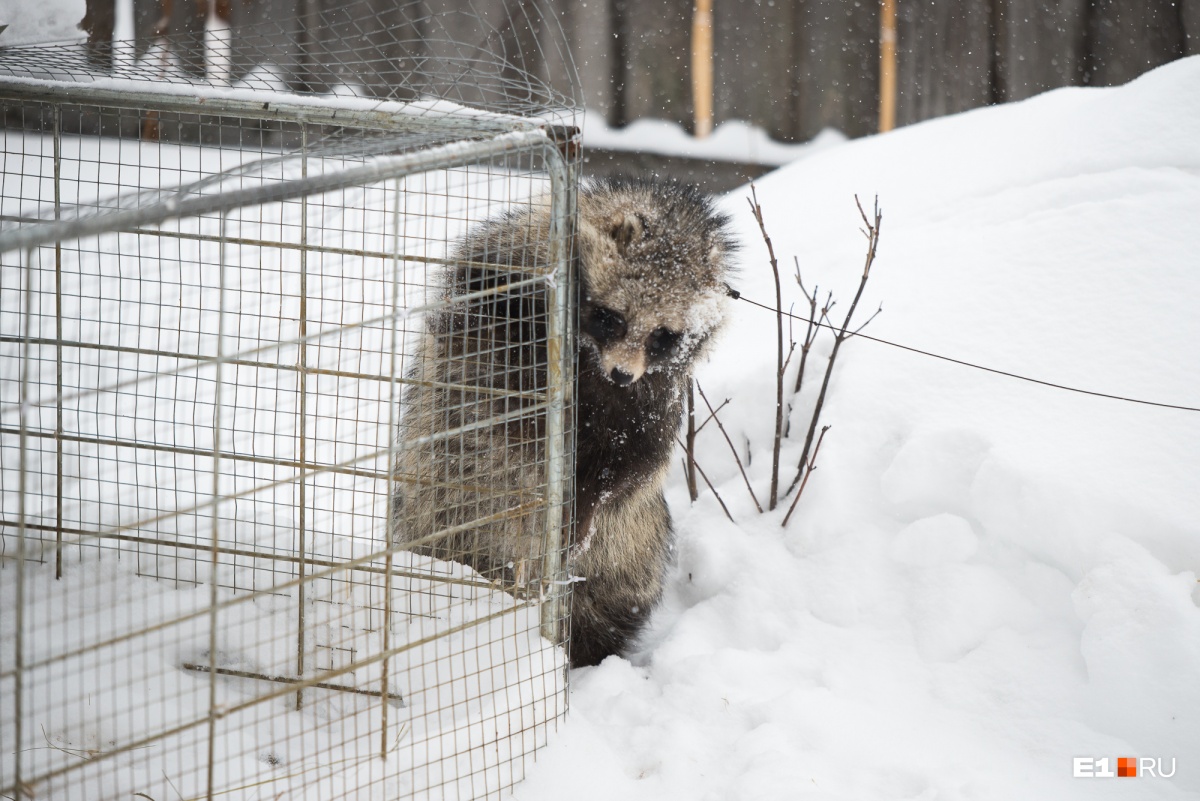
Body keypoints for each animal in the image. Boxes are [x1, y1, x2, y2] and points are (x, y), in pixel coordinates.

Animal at [388, 176, 734, 671]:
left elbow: (629, 462)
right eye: (612, 317)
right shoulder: (505, 264)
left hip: (626, 554)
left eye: (662, 335)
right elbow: (481, 339)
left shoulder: (657, 396)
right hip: (435, 509)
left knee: (605, 602)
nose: (621, 374)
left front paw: (588, 498)